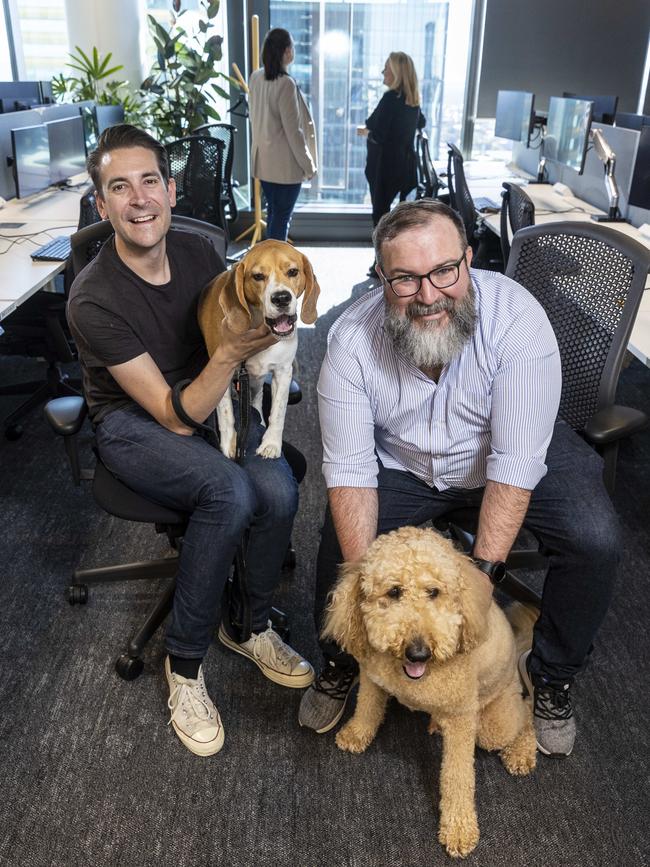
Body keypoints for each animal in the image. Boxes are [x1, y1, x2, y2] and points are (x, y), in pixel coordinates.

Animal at [197, 241, 318, 462]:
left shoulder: (283, 371)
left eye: (293, 271)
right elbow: (226, 412)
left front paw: (271, 443)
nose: (281, 298)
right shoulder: (221, 371)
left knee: (257, 399)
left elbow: (278, 410)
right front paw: (230, 444)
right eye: (258, 276)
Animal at [322, 524, 536, 856]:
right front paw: (357, 733)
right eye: (394, 591)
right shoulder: (372, 676)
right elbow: (367, 707)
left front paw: (459, 828)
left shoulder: (462, 720)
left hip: (492, 724)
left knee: (526, 712)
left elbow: (457, 777)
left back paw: (522, 752)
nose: (419, 652)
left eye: (433, 592)